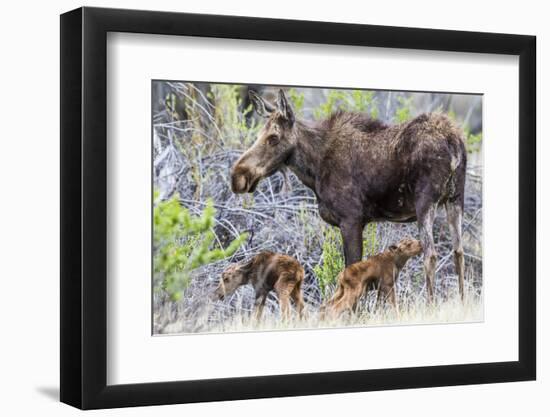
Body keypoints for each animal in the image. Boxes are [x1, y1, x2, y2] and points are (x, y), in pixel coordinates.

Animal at [231, 89, 468, 300]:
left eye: (273, 137)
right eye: (259, 135)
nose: (238, 176)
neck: (313, 169)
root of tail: (453, 141)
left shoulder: (351, 219)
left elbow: (351, 271)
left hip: (425, 202)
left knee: (431, 255)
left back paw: (431, 305)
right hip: (455, 199)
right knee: (458, 252)